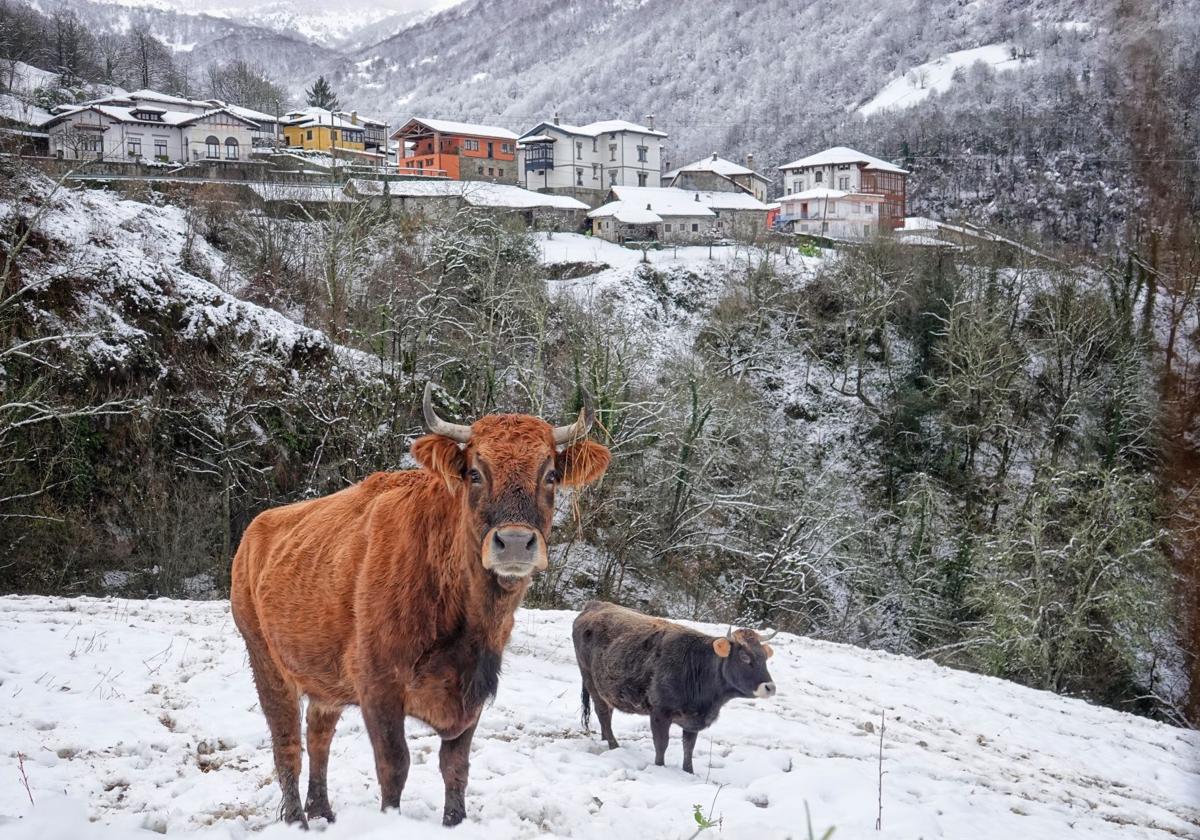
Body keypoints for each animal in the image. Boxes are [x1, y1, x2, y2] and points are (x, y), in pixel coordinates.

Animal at [229, 386, 609, 825]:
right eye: (475, 472)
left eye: (549, 474)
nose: (514, 542)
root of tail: (254, 532)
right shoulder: (379, 688)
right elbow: (395, 766)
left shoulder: (472, 693)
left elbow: (455, 767)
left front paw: (454, 820)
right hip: (268, 665)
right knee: (287, 742)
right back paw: (297, 819)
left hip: (324, 679)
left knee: (318, 734)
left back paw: (322, 810)